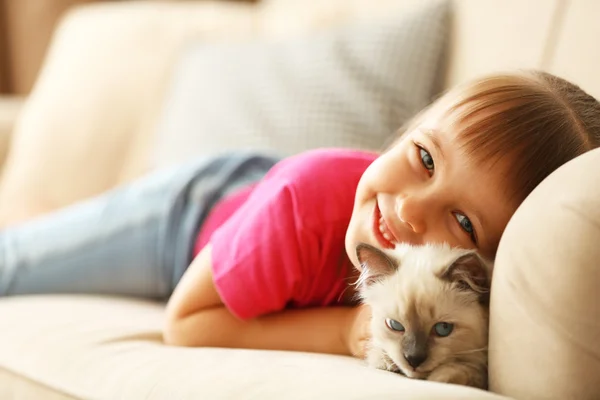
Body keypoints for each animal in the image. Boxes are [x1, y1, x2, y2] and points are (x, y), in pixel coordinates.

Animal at [354, 242, 490, 390]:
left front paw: (442, 377)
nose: (413, 359)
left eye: (443, 328)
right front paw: (384, 361)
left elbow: (467, 370)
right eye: (395, 325)